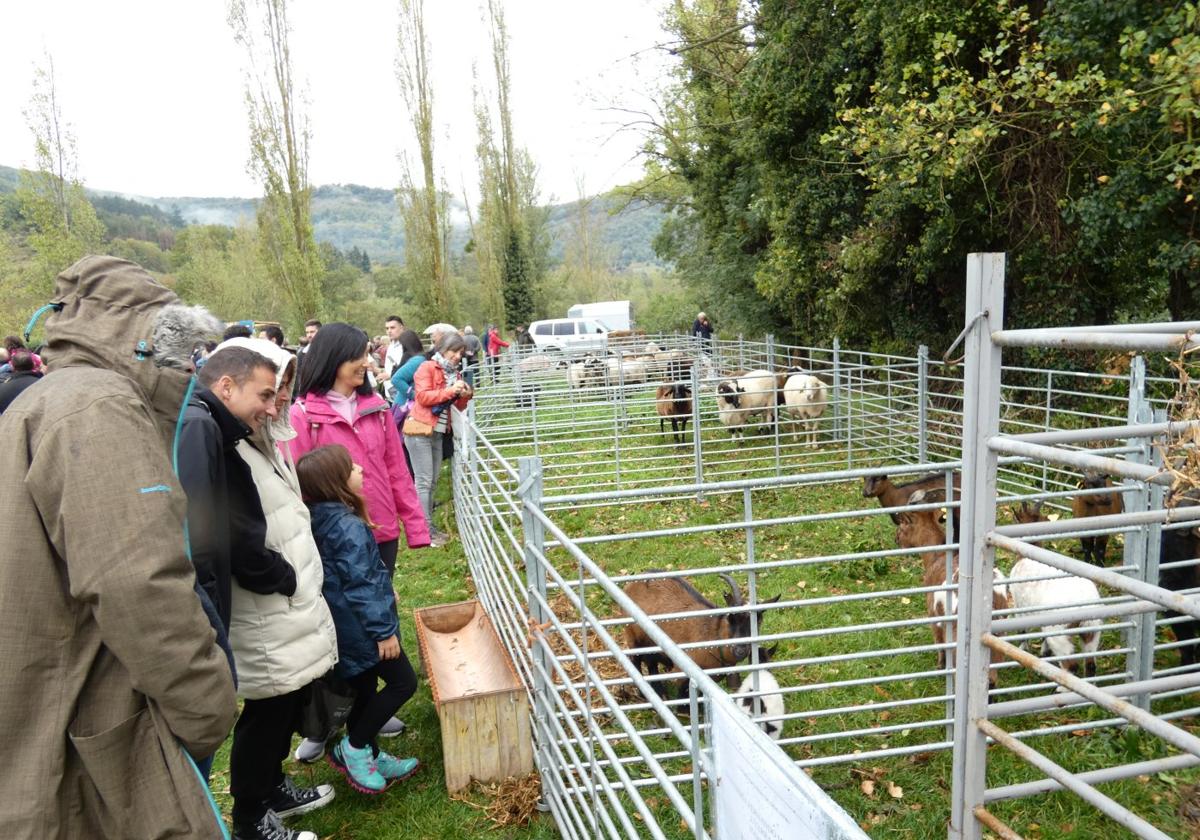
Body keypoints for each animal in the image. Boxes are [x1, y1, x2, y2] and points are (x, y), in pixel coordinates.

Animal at [624, 571, 782, 700]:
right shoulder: (683, 674)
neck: (713, 635)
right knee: (636, 662)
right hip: (632, 637)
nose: (740, 650)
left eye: (758, 621)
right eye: (731, 618)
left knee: (651, 665)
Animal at [897, 489, 1008, 686]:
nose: (896, 539)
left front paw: (940, 665)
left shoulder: (933, 615)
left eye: (903, 523)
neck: (938, 555)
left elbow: (939, 643)